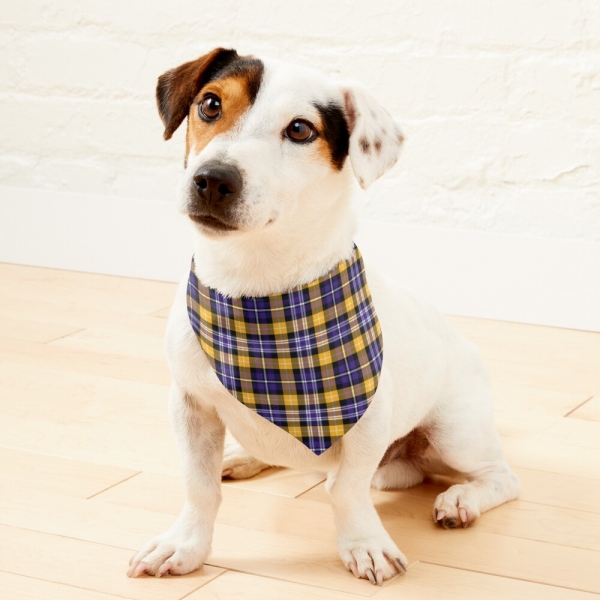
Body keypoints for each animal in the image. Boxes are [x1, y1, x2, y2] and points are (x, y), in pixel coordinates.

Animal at [127, 48, 520, 584]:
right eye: (210, 104)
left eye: (299, 130)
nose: (213, 179)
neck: (256, 290)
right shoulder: (190, 405)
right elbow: (199, 486)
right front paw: (185, 545)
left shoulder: (368, 420)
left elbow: (347, 490)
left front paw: (365, 544)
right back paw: (244, 456)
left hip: (456, 432)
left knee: (500, 477)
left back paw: (461, 499)